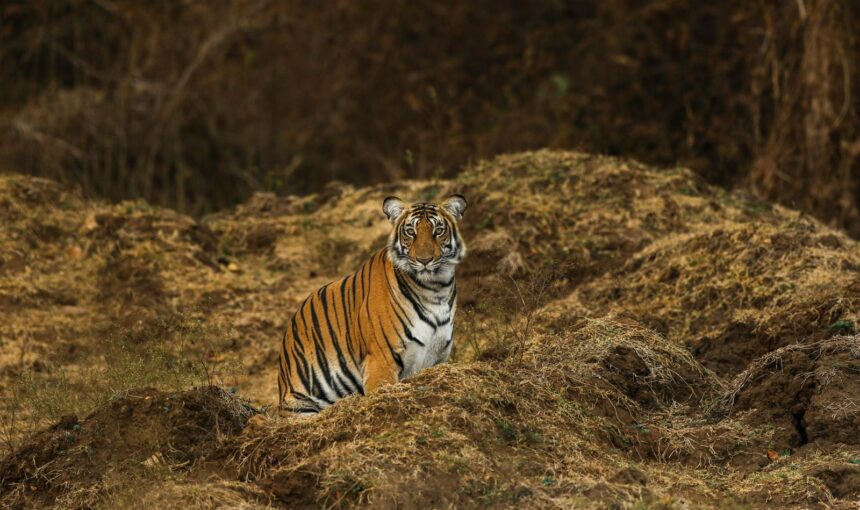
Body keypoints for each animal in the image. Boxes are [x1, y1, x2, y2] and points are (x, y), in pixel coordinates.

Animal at [277, 194, 468, 413]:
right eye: (410, 232)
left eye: (438, 231)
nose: (424, 260)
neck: (435, 290)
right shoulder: (381, 360)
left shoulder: (438, 357)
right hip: (300, 404)